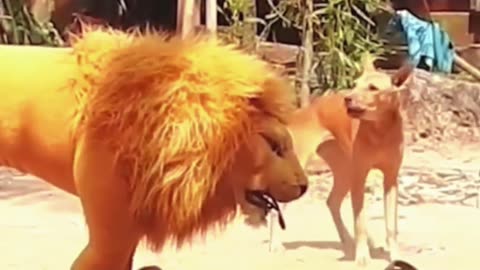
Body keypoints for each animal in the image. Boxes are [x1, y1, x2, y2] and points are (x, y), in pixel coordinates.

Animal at [270, 58, 412, 266]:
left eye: (372, 88)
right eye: (355, 84)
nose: (348, 99)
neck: (380, 131)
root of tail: (303, 110)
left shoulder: (391, 180)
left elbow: (391, 226)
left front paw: (396, 256)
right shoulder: (359, 178)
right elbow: (360, 222)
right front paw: (362, 256)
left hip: (345, 173)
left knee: (332, 202)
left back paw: (349, 240)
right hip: (307, 173)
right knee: (278, 206)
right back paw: (275, 244)